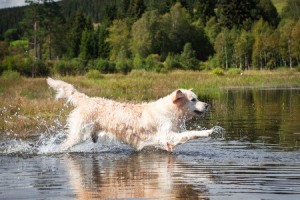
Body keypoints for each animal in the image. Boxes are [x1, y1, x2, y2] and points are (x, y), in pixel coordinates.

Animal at [46, 77, 216, 151]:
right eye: (193, 99)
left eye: (198, 98)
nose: (207, 105)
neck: (170, 112)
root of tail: (87, 100)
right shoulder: (168, 135)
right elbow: (191, 133)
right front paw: (208, 131)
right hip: (78, 134)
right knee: (63, 146)